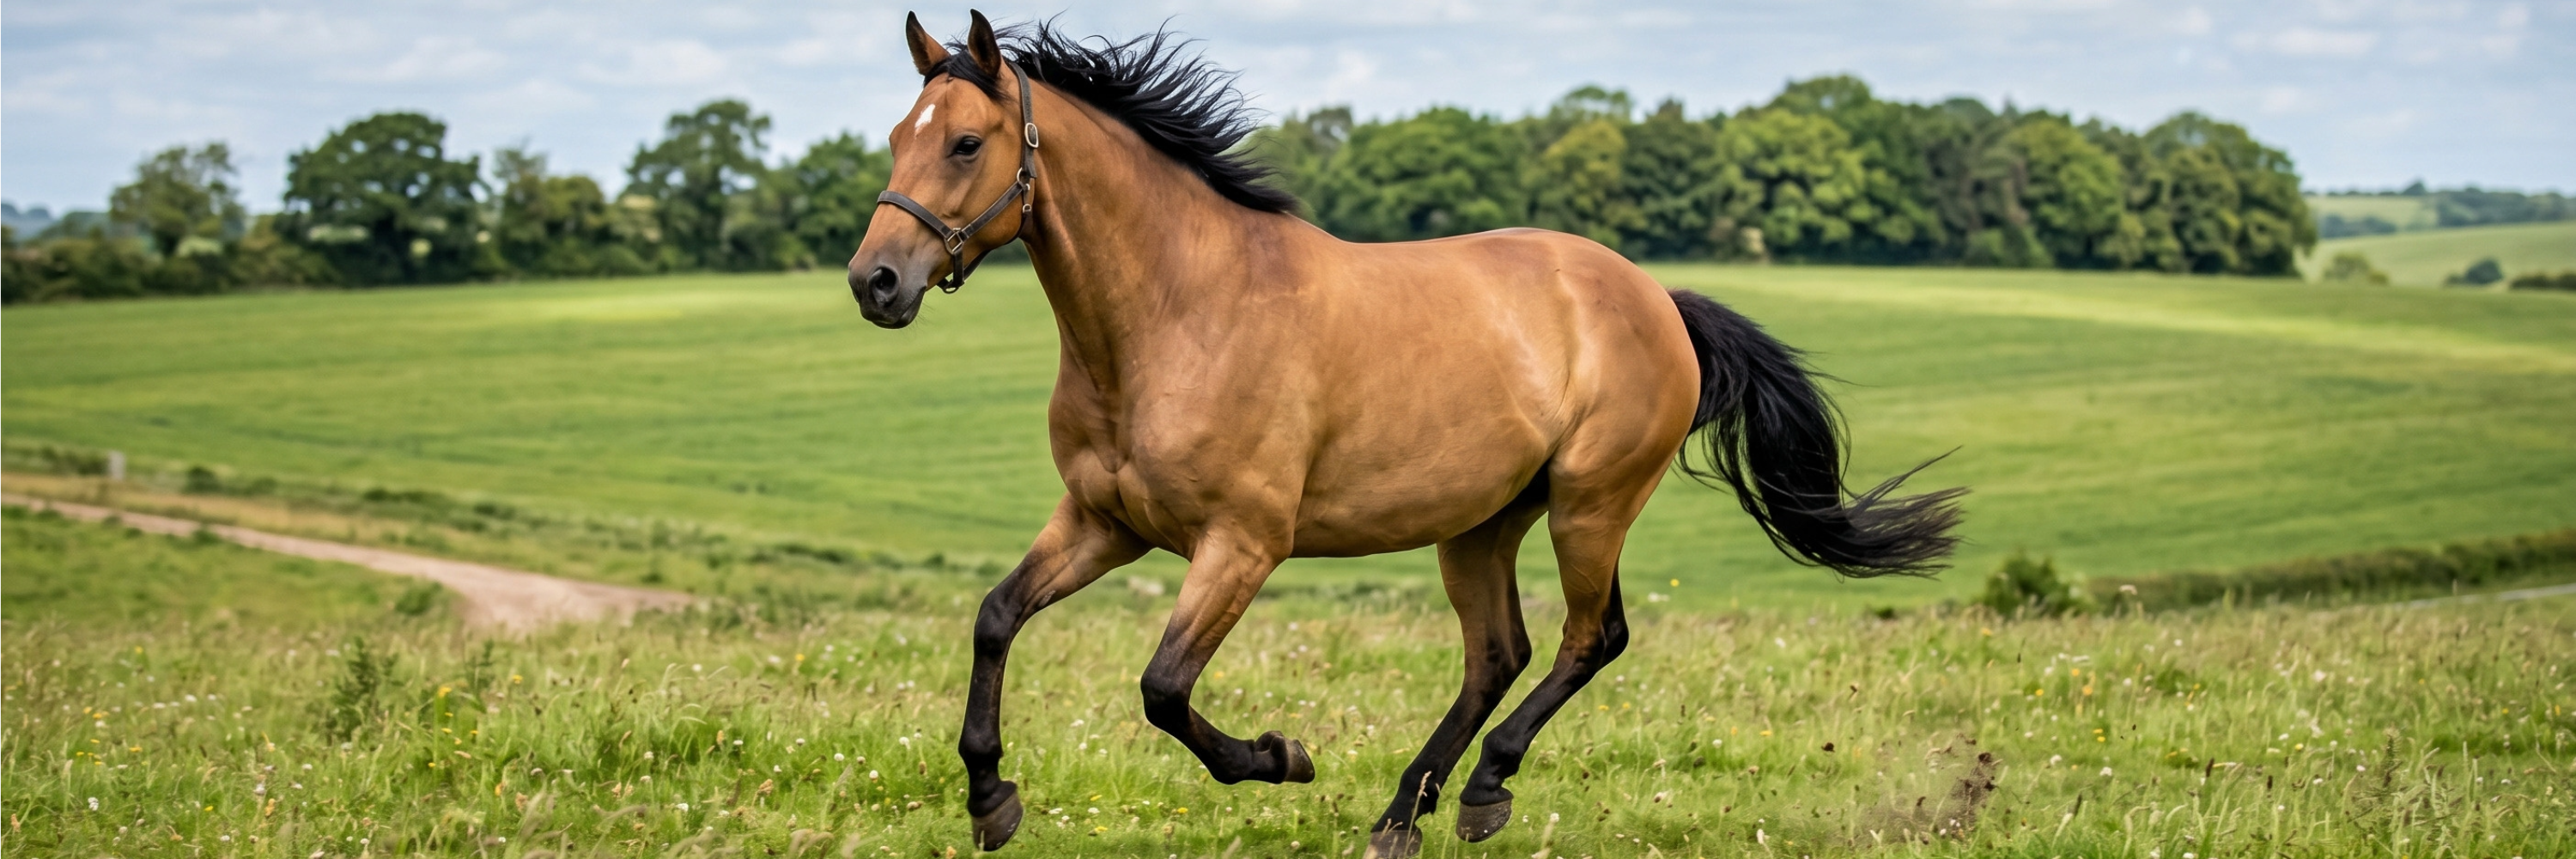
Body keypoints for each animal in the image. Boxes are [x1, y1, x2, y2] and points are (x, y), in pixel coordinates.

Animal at [847, 12, 1966, 858]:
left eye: (965, 143)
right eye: (898, 136)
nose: (875, 283)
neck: (1175, 316)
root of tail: (1656, 298)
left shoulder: (1243, 543)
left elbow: (1163, 688)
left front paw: (1281, 756)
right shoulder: (1101, 521)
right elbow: (996, 616)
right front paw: (991, 799)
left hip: (1590, 505)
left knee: (1588, 638)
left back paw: (1481, 793)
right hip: (1479, 524)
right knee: (1498, 653)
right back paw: (1402, 814)